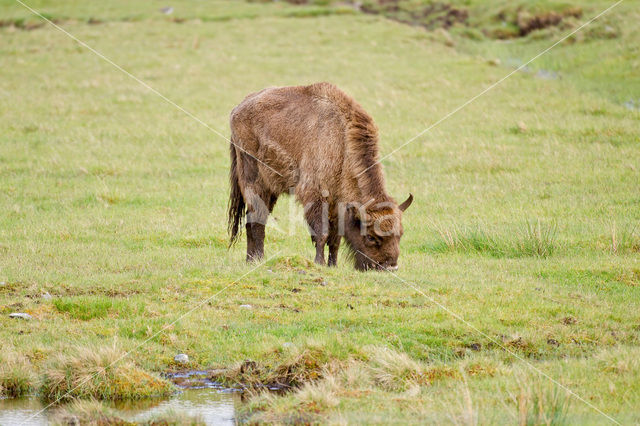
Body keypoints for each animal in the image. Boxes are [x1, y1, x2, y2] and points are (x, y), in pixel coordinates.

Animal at [228, 81, 412, 272]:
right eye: (370, 237)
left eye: (400, 234)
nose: (391, 267)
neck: (342, 144)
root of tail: (237, 109)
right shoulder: (315, 197)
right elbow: (321, 234)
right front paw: (319, 263)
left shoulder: (337, 204)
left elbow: (335, 239)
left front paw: (333, 265)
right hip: (255, 183)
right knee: (257, 221)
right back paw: (257, 259)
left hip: (270, 190)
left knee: (253, 220)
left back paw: (252, 260)